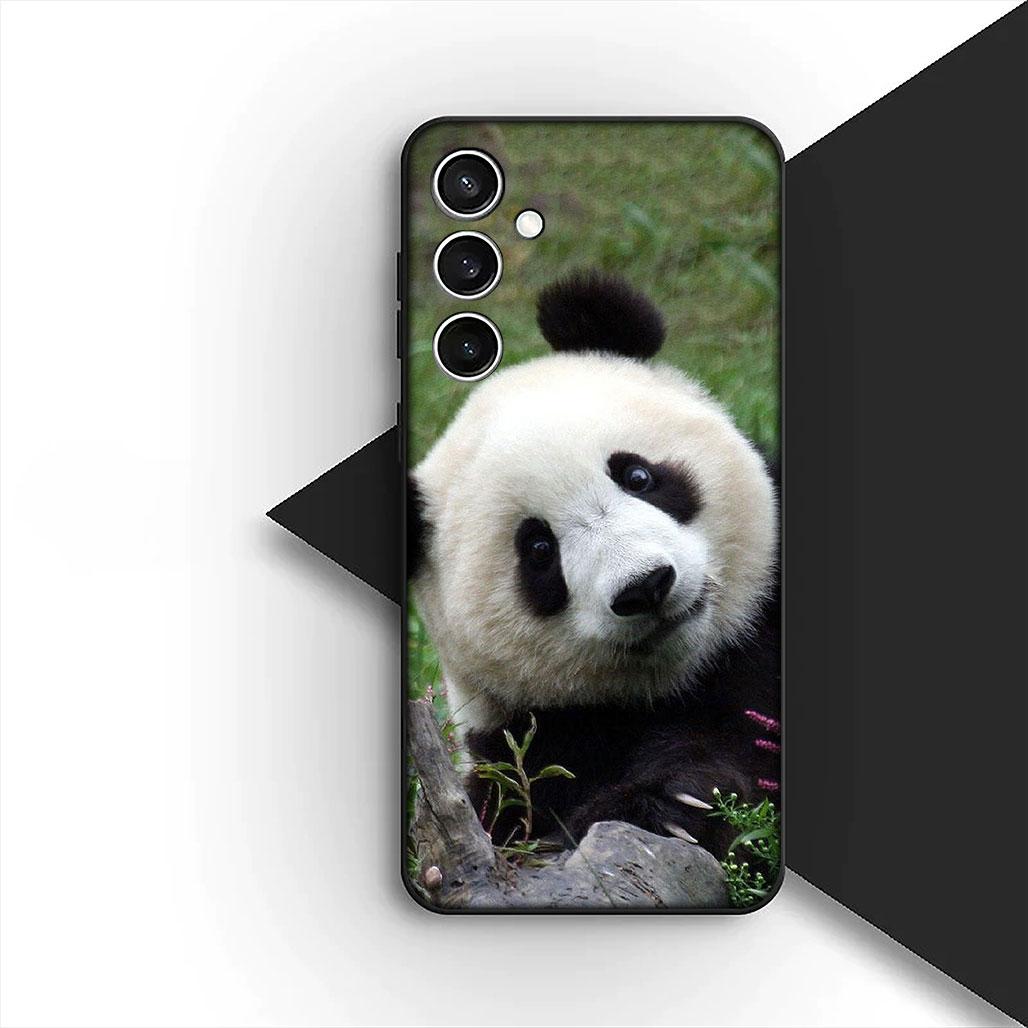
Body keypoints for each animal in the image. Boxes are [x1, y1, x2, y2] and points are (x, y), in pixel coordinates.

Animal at [408, 272, 780, 859]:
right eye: (540, 551)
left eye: (638, 476)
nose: (646, 586)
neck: (678, 679)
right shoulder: (529, 741)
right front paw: (660, 809)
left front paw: (676, 797)